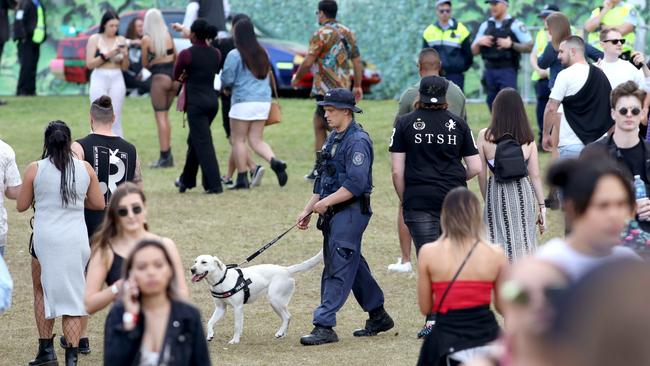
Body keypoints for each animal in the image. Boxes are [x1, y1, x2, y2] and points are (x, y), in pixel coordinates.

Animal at [189, 250, 320, 344]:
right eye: (195, 261)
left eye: (204, 262)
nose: (192, 269)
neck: (221, 280)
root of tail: (285, 269)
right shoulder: (220, 308)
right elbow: (210, 322)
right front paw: (210, 335)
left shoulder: (238, 308)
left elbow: (237, 326)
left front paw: (235, 340)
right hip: (277, 302)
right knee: (287, 317)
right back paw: (282, 334)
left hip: (274, 300)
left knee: (287, 316)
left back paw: (280, 332)